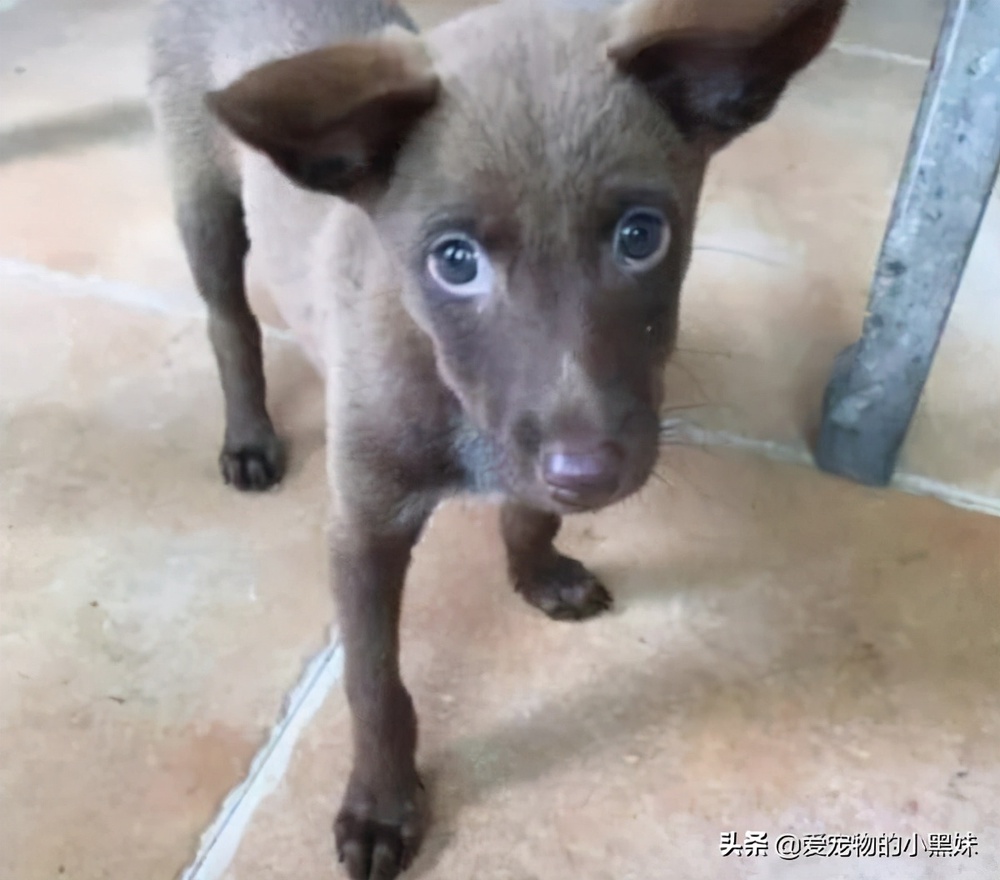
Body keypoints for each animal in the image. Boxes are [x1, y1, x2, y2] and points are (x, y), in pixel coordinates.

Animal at [148, 3, 848, 876]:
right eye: (455, 262)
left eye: (641, 235)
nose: (590, 475)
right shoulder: (364, 529)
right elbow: (373, 684)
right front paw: (382, 803)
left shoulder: (530, 456)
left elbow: (530, 512)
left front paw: (538, 569)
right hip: (204, 201)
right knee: (229, 321)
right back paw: (249, 434)